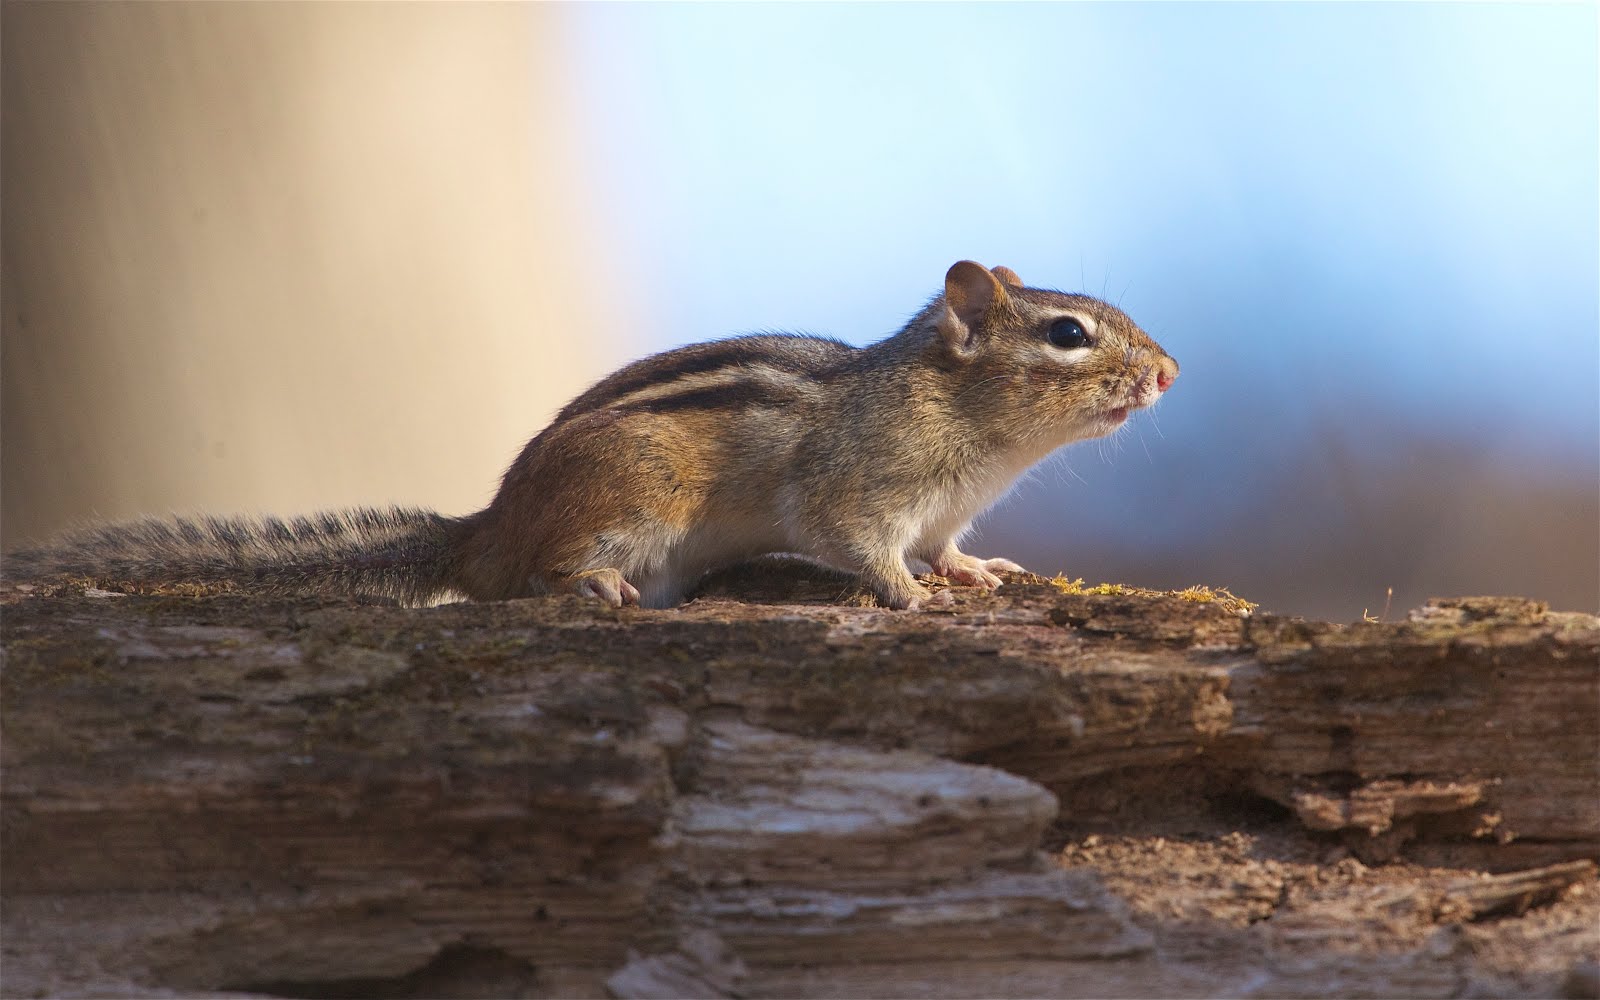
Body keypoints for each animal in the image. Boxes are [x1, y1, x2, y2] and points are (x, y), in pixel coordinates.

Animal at [5, 261, 1178, 610]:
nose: (1168, 373)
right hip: (626, 504)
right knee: (536, 578)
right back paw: (590, 583)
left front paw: (976, 571)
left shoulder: (939, 510)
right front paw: (913, 598)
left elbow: (948, 545)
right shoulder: (858, 488)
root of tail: (486, 525)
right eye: (1068, 335)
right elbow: (863, 548)